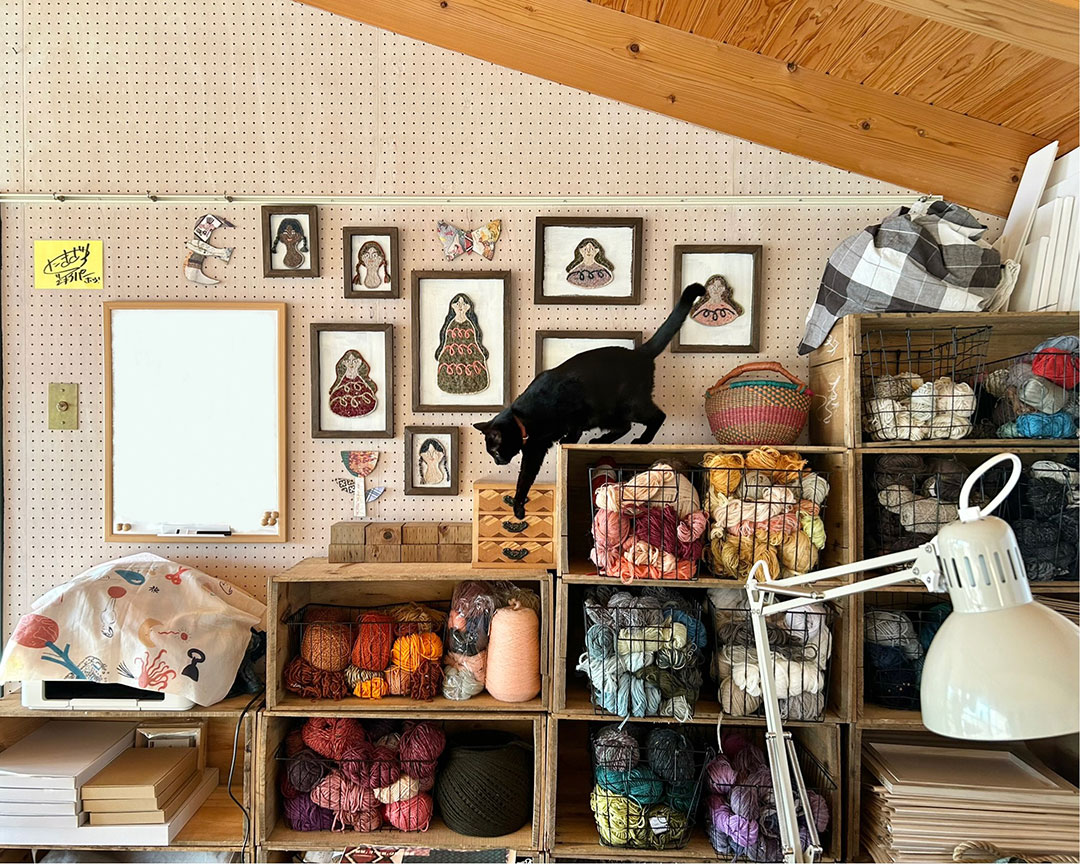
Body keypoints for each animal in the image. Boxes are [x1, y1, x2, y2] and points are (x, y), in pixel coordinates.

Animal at [474, 283, 707, 519]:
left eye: (495, 451)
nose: (498, 461)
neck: (526, 418)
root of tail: (639, 353)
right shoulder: (535, 449)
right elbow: (525, 478)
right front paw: (518, 506)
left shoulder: (575, 408)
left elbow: (574, 429)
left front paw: (568, 439)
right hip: (610, 415)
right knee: (624, 426)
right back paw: (602, 440)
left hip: (628, 406)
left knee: (657, 416)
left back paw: (642, 440)